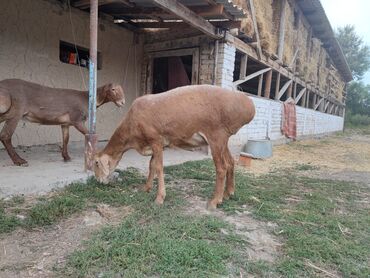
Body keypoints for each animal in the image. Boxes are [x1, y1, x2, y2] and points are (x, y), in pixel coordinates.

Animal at [93, 84, 254, 208]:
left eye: (96, 163)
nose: (98, 181)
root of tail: (248, 103)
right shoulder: (157, 145)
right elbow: (151, 165)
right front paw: (146, 188)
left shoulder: (156, 140)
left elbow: (158, 167)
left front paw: (159, 197)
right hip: (223, 140)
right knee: (231, 162)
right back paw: (228, 193)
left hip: (216, 137)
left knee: (221, 168)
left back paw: (215, 201)